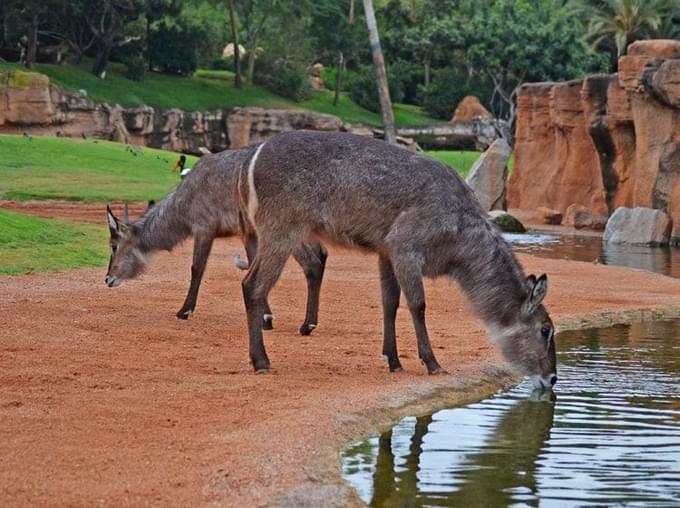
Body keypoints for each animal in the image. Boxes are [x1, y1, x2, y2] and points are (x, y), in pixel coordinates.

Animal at [105, 145, 328, 336]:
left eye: (113, 246)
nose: (107, 279)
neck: (183, 200)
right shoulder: (248, 233)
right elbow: (252, 268)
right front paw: (266, 318)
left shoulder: (204, 227)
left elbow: (197, 268)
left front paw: (184, 311)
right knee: (321, 255)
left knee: (313, 262)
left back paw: (307, 325)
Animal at [235, 130, 556, 384]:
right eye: (545, 329)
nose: (552, 377)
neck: (458, 243)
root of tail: (253, 159)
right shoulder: (405, 247)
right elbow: (418, 304)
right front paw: (433, 363)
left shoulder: (385, 252)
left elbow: (389, 302)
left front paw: (394, 360)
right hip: (281, 229)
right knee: (252, 285)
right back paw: (261, 361)